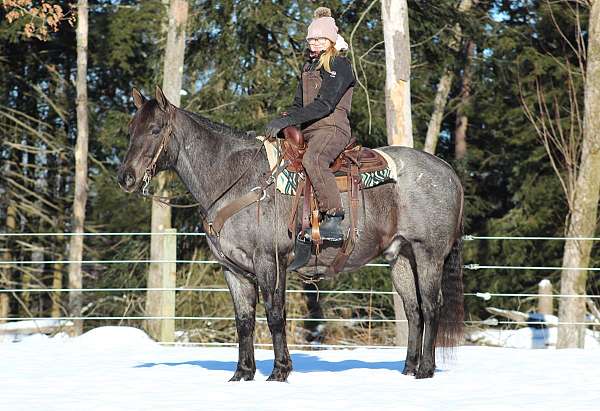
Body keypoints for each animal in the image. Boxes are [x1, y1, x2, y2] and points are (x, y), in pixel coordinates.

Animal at [117, 87, 464, 384]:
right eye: (130, 128)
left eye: (155, 129)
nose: (126, 178)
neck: (238, 180)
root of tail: (447, 171)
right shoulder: (233, 269)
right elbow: (244, 320)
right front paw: (242, 374)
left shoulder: (269, 261)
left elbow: (274, 315)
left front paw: (279, 371)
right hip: (401, 256)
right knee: (413, 310)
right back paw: (409, 369)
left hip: (428, 255)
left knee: (431, 306)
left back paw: (426, 370)